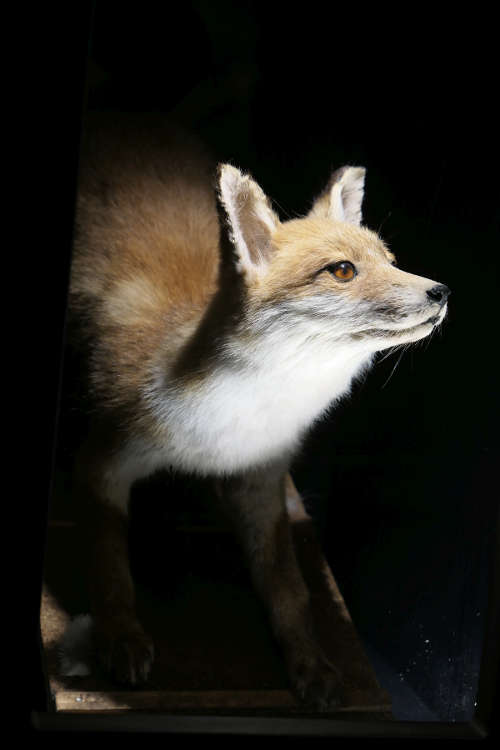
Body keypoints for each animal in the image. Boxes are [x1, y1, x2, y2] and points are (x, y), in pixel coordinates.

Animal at [64, 111, 452, 712]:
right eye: (343, 271)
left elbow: (290, 591)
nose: (441, 292)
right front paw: (120, 636)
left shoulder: (260, 480)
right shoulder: (103, 458)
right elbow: (110, 566)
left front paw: (310, 662)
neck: (228, 427)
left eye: (391, 262)